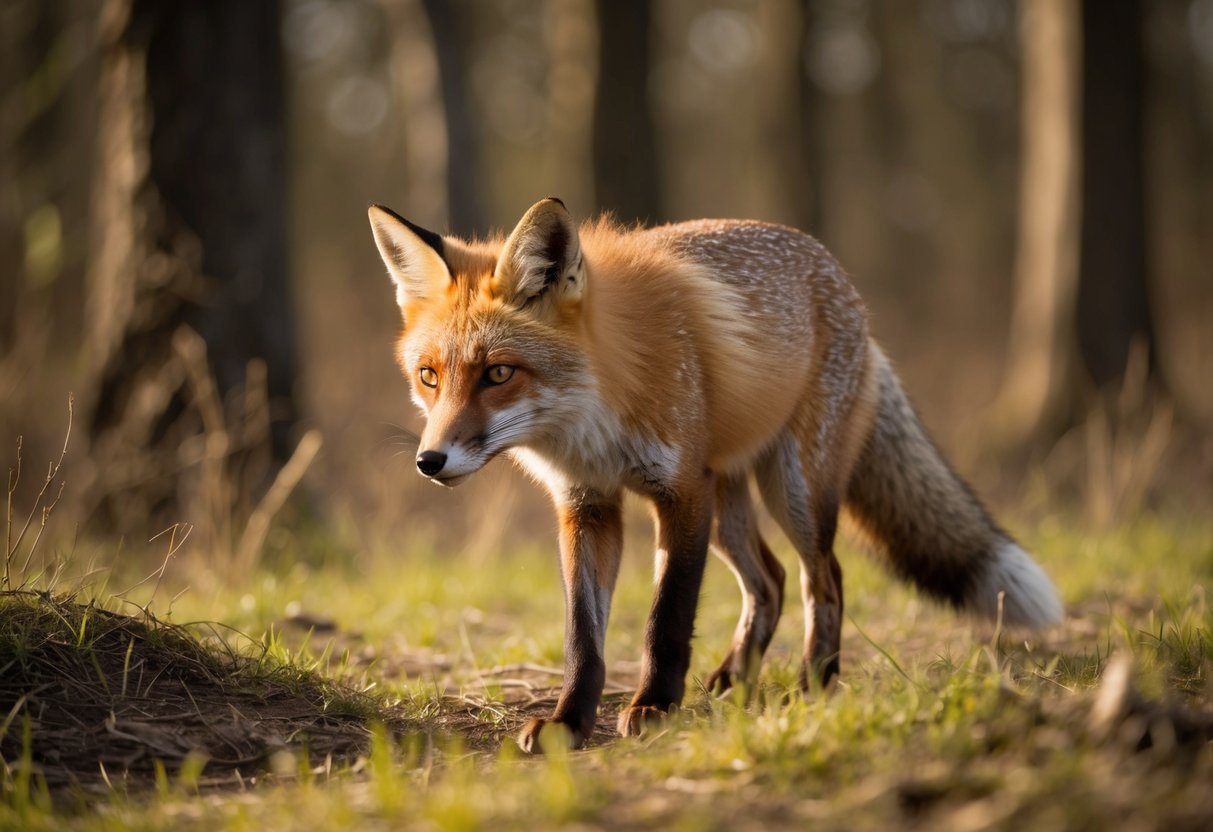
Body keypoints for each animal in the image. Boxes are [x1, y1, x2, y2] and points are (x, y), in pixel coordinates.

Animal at [367, 197, 1064, 753]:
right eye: (429, 376)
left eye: (498, 373)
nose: (431, 461)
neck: (595, 416)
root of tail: (841, 278)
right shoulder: (588, 505)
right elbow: (582, 639)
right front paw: (569, 722)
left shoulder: (679, 492)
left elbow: (666, 617)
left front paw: (654, 706)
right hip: (729, 509)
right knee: (772, 580)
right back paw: (738, 676)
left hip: (793, 491)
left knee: (825, 578)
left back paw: (813, 682)